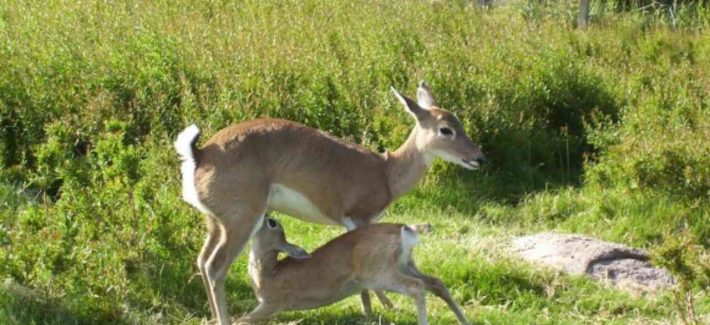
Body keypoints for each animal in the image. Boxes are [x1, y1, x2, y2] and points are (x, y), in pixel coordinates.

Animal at [239, 215, 472, 324]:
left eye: (272, 223)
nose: (265, 213)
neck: (269, 273)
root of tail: (405, 229)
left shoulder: (274, 303)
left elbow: (240, 320)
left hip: (380, 273)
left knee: (417, 287)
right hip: (405, 264)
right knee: (435, 282)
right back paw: (465, 321)